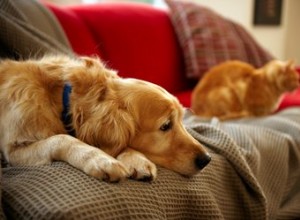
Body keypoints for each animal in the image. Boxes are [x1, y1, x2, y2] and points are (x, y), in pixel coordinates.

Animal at [0, 55, 211, 182]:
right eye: (166, 126)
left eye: (183, 120)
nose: (207, 159)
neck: (62, 100)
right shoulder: (14, 150)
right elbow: (62, 138)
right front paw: (100, 159)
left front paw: (137, 160)